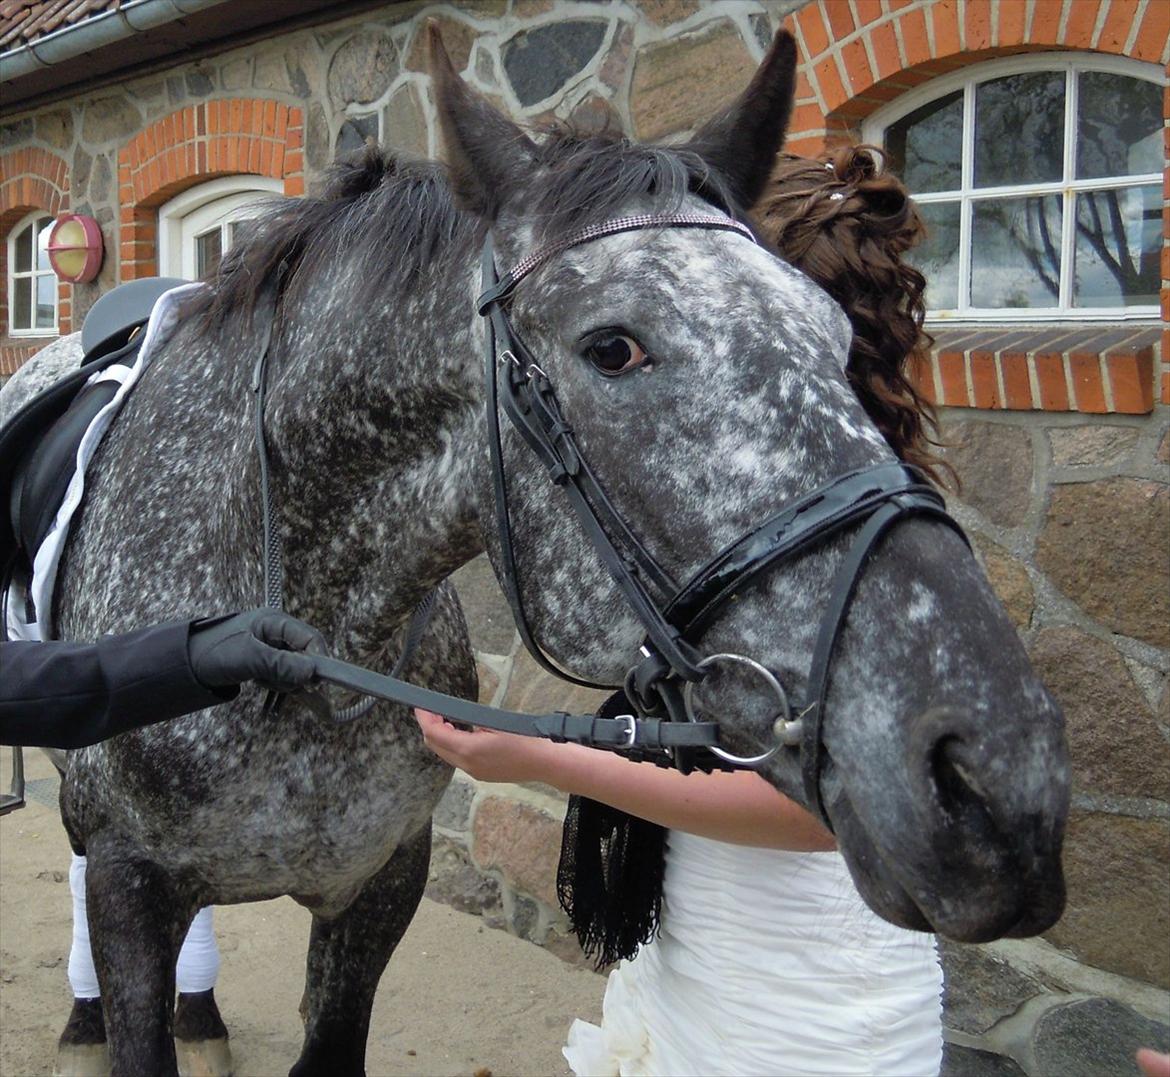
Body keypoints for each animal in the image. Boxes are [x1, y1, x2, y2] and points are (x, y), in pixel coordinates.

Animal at [2, 29, 1071, 1075]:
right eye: (612, 348)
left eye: (839, 336)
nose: (995, 773)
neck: (295, 657)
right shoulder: (131, 887)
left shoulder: (380, 882)